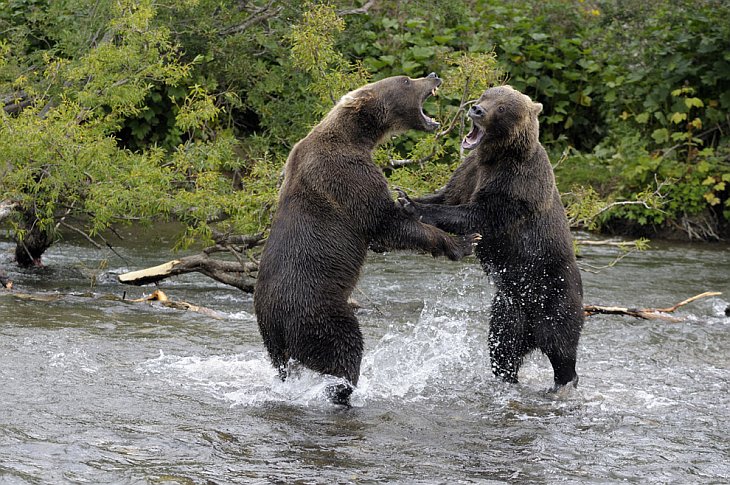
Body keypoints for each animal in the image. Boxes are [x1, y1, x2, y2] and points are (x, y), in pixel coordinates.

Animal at [253, 72, 480, 404]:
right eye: (406, 80)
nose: (433, 75)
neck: (357, 135)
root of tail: (277, 325)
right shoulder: (347, 173)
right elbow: (384, 220)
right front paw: (463, 242)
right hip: (317, 312)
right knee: (345, 347)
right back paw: (344, 389)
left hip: (273, 342)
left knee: (285, 366)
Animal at [398, 85, 580, 392]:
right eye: (487, 94)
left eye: (503, 107)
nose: (476, 109)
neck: (494, 156)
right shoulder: (469, 172)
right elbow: (446, 195)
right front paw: (401, 196)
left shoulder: (516, 183)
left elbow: (479, 213)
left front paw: (411, 204)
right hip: (508, 307)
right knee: (504, 346)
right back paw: (506, 377)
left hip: (554, 293)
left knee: (561, 346)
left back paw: (563, 382)